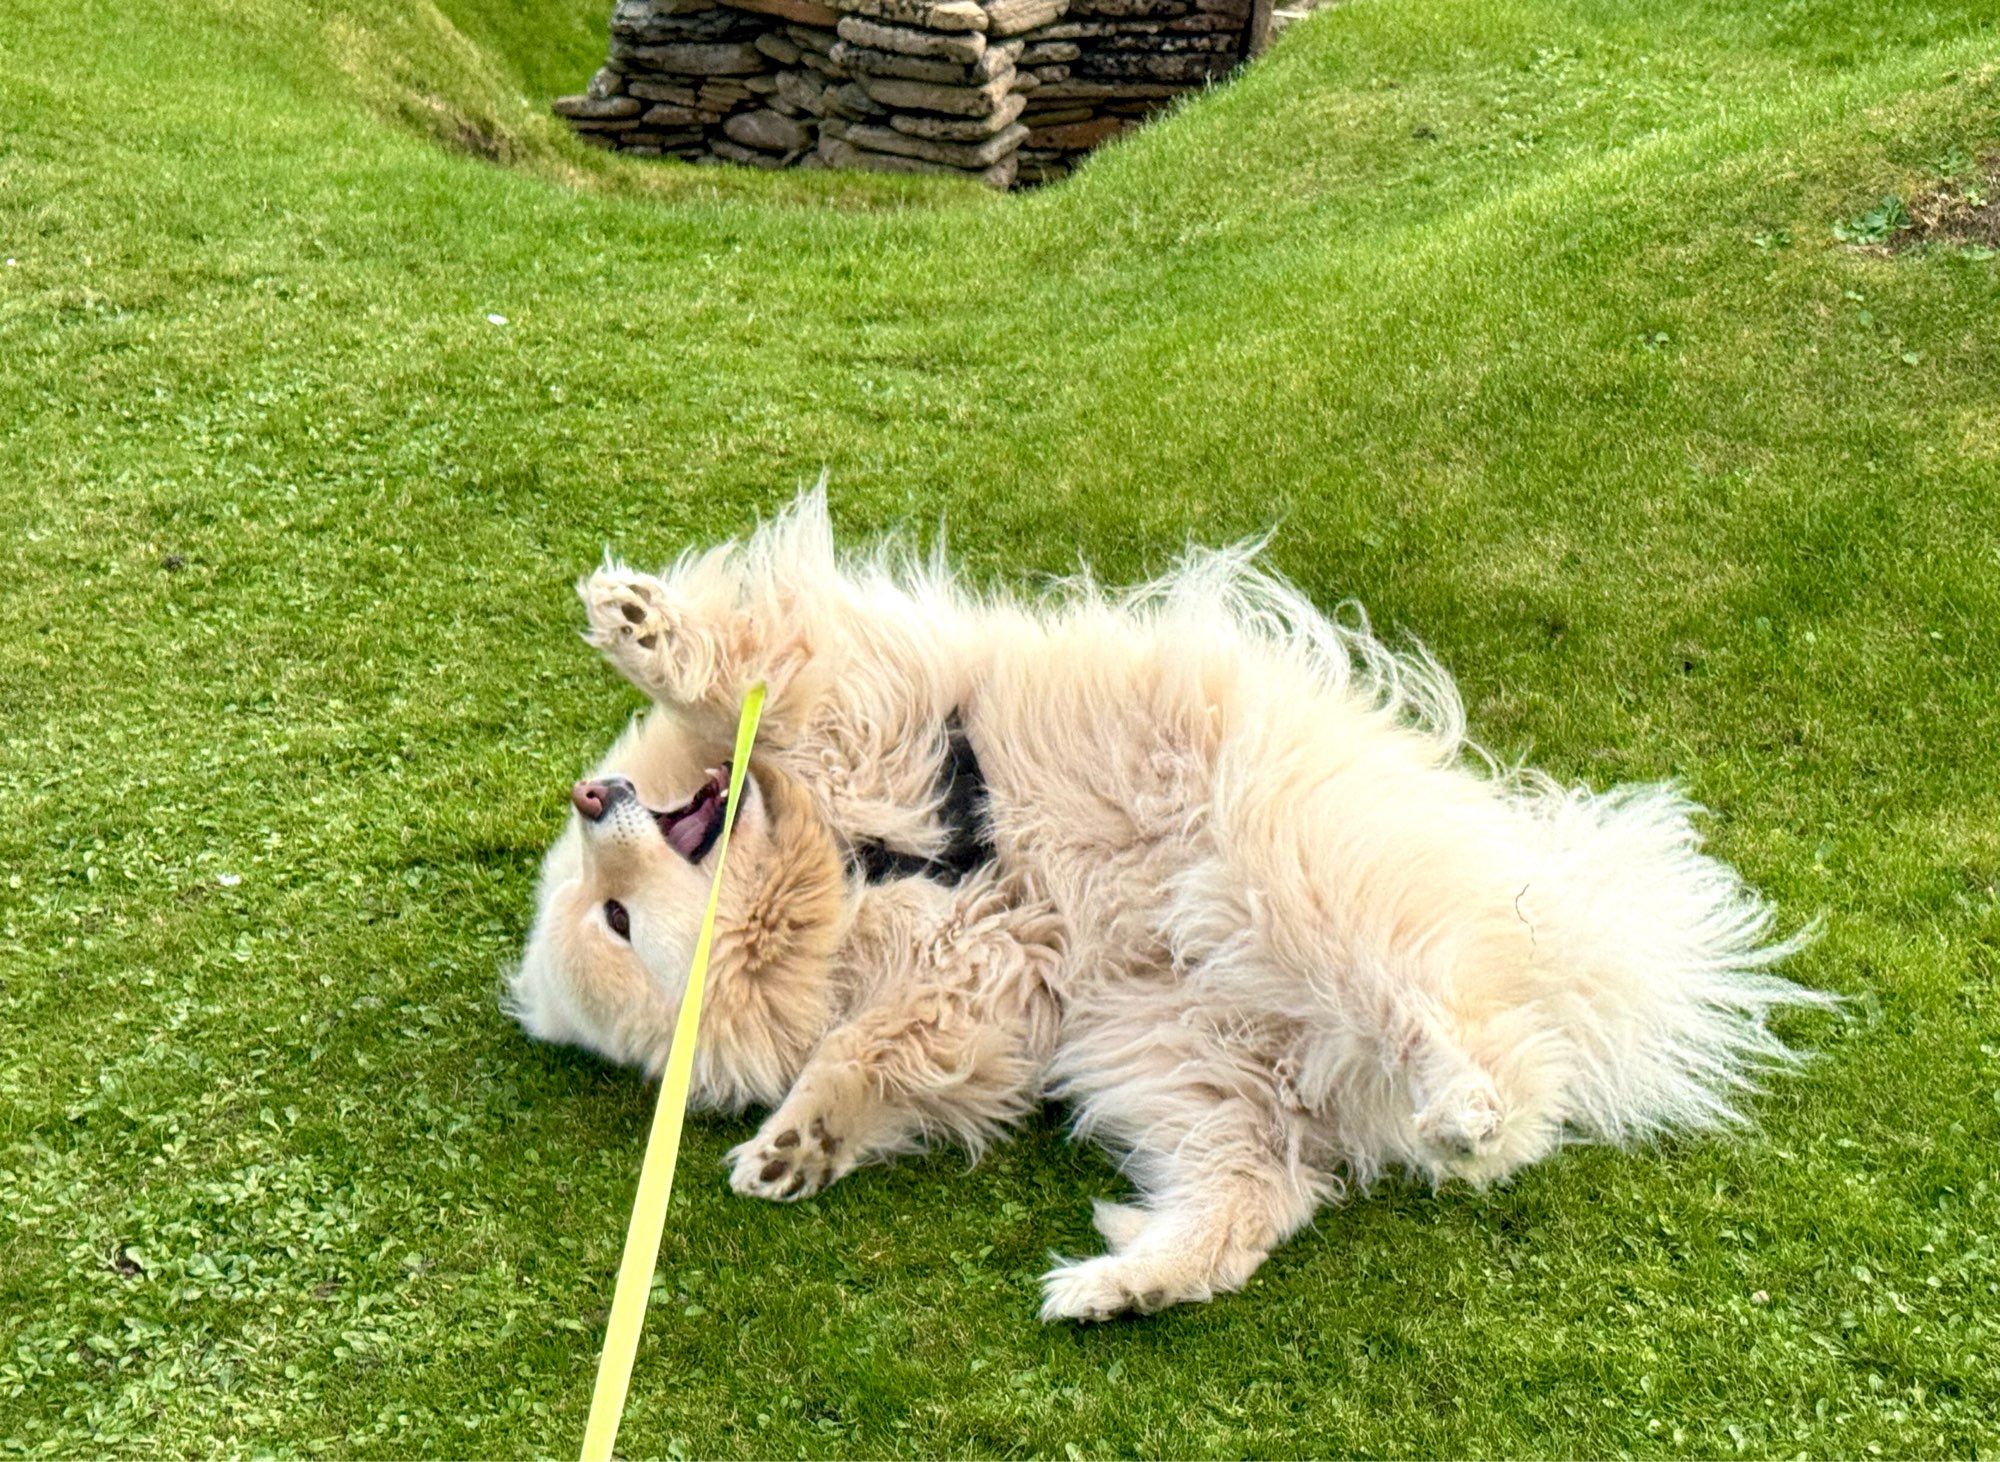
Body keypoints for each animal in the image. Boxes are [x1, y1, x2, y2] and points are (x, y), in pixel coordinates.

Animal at [512, 492, 1832, 1328]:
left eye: (608, 911)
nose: (590, 795)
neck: (859, 869)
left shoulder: (867, 718)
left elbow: (744, 672)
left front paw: (639, 628)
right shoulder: (975, 988)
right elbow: (865, 1054)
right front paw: (799, 1143)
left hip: (1284, 877)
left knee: (1459, 1033)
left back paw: (1462, 1109)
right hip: (1166, 1054)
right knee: (1262, 1195)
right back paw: (1128, 1282)